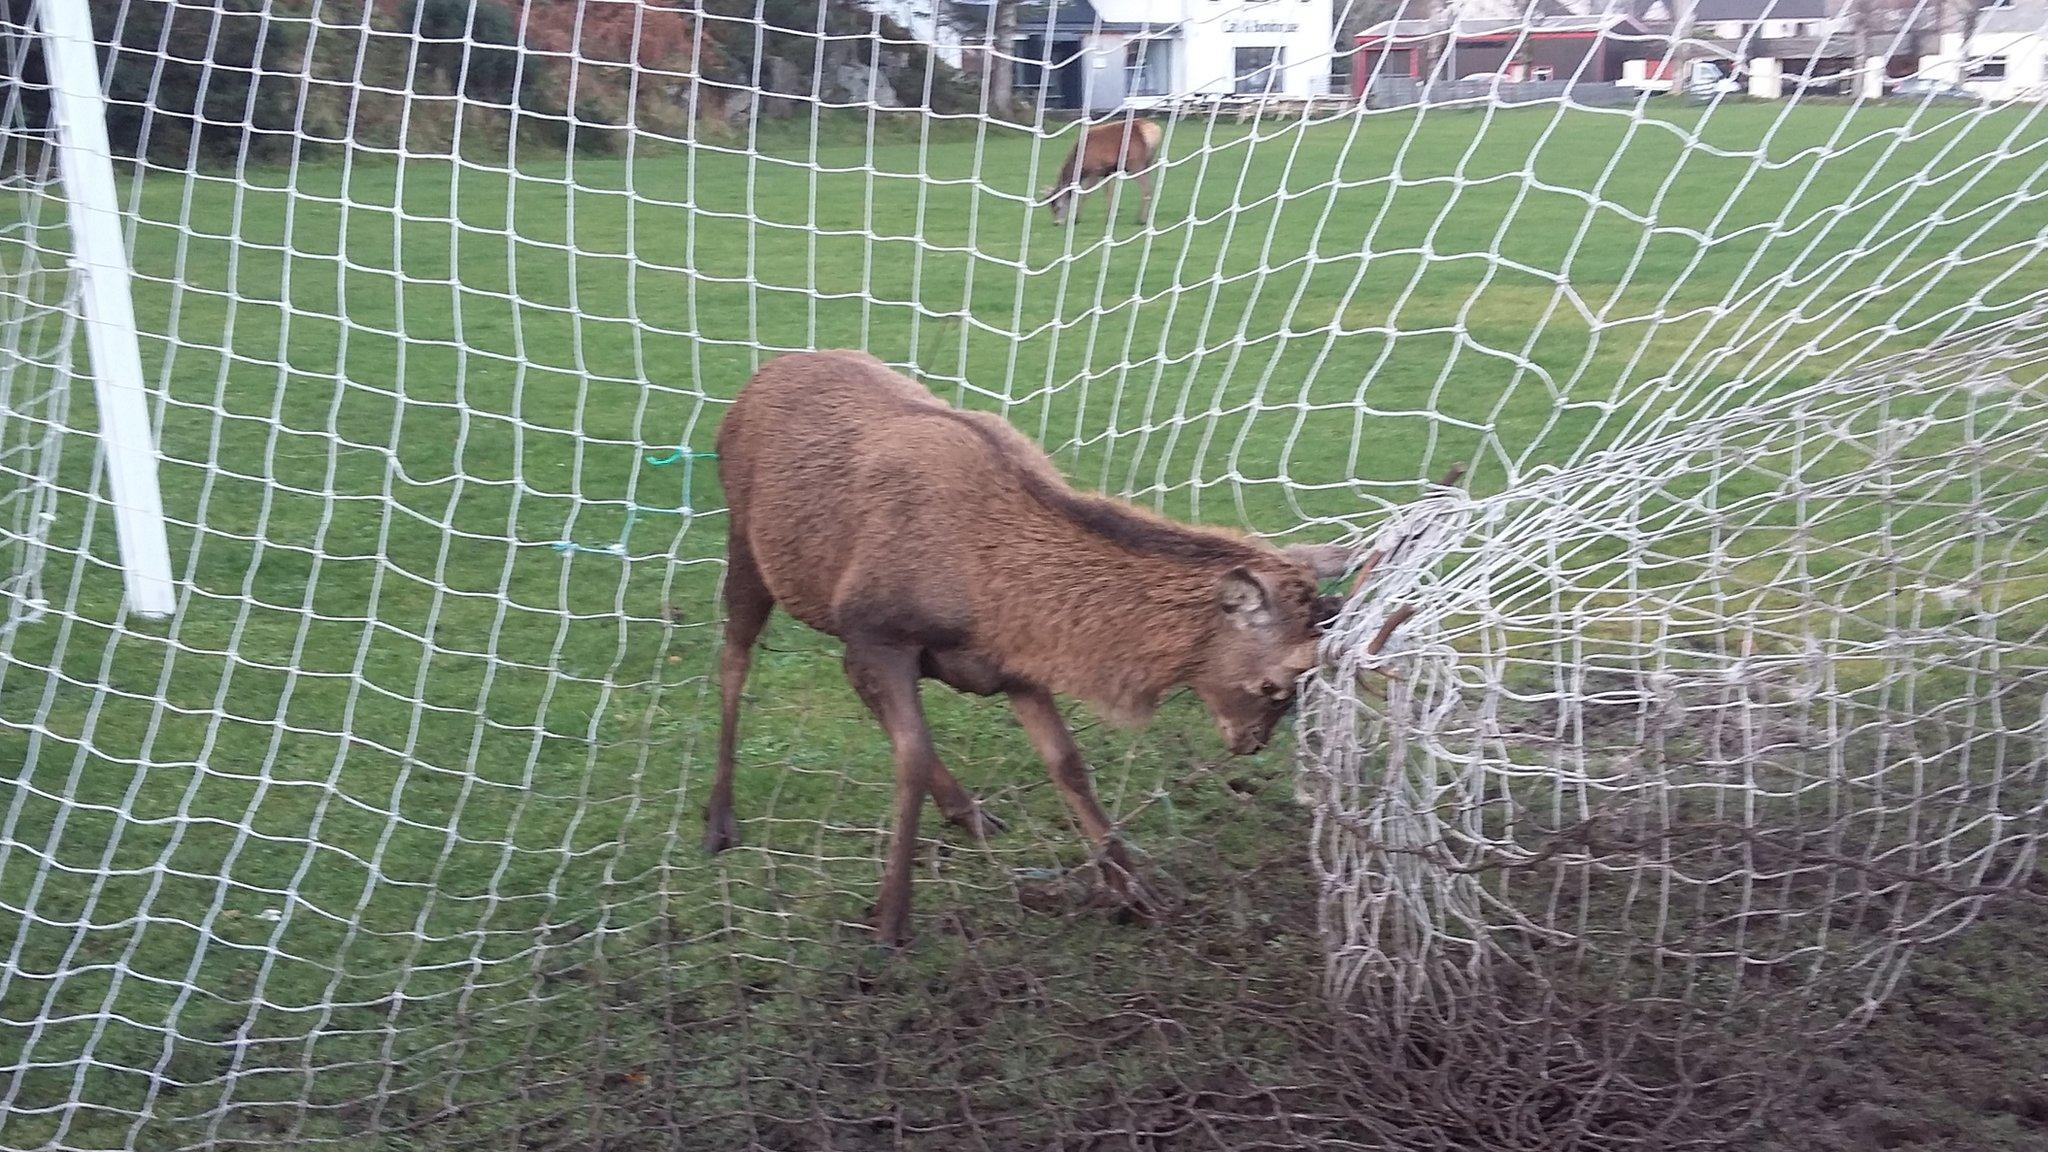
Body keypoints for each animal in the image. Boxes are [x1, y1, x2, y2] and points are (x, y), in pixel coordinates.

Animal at [704, 348, 1359, 942]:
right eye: (1275, 682)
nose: (1251, 743)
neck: (990, 596)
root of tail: (762, 375)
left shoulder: (1013, 665)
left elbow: (1066, 763)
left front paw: (1134, 889)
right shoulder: (875, 630)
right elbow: (910, 754)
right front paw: (889, 919)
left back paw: (969, 813)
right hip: (745, 540)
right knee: (732, 659)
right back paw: (719, 820)